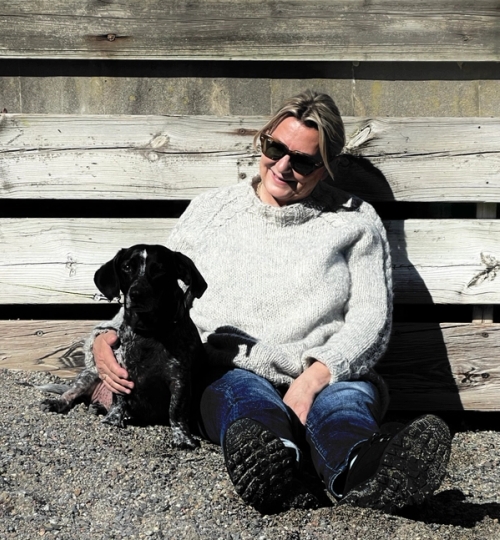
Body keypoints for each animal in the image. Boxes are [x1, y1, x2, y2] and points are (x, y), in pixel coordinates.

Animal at [41, 244, 207, 449]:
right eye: (127, 267)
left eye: (159, 269)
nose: (136, 294)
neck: (149, 332)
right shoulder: (119, 372)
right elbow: (119, 399)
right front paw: (113, 419)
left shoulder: (179, 380)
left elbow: (176, 411)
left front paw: (182, 437)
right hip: (90, 374)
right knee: (70, 394)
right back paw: (59, 403)